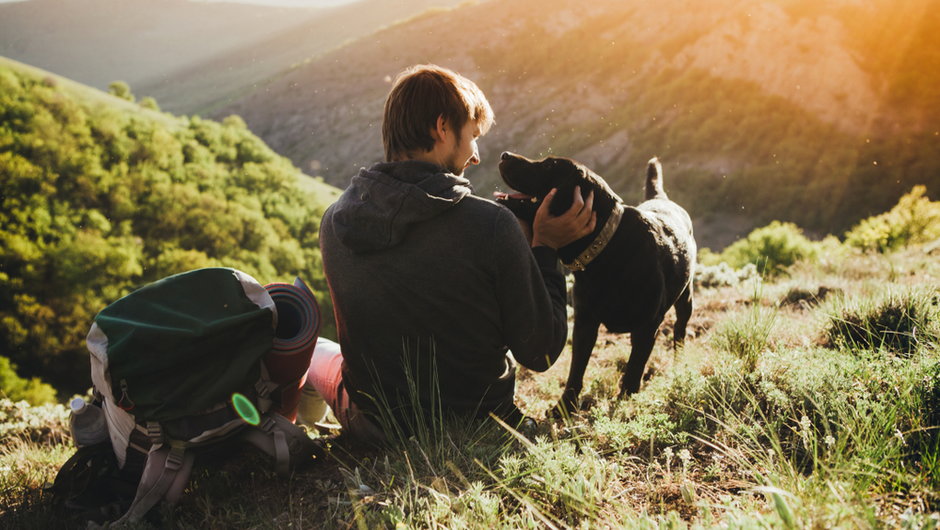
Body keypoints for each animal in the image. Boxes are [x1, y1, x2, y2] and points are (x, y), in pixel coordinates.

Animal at [496, 151, 692, 410]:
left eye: (549, 165)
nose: (504, 154)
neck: (606, 248)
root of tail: (662, 199)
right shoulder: (585, 322)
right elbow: (577, 369)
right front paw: (565, 406)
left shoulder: (648, 326)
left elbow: (634, 369)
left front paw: (625, 402)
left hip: (685, 299)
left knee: (680, 330)